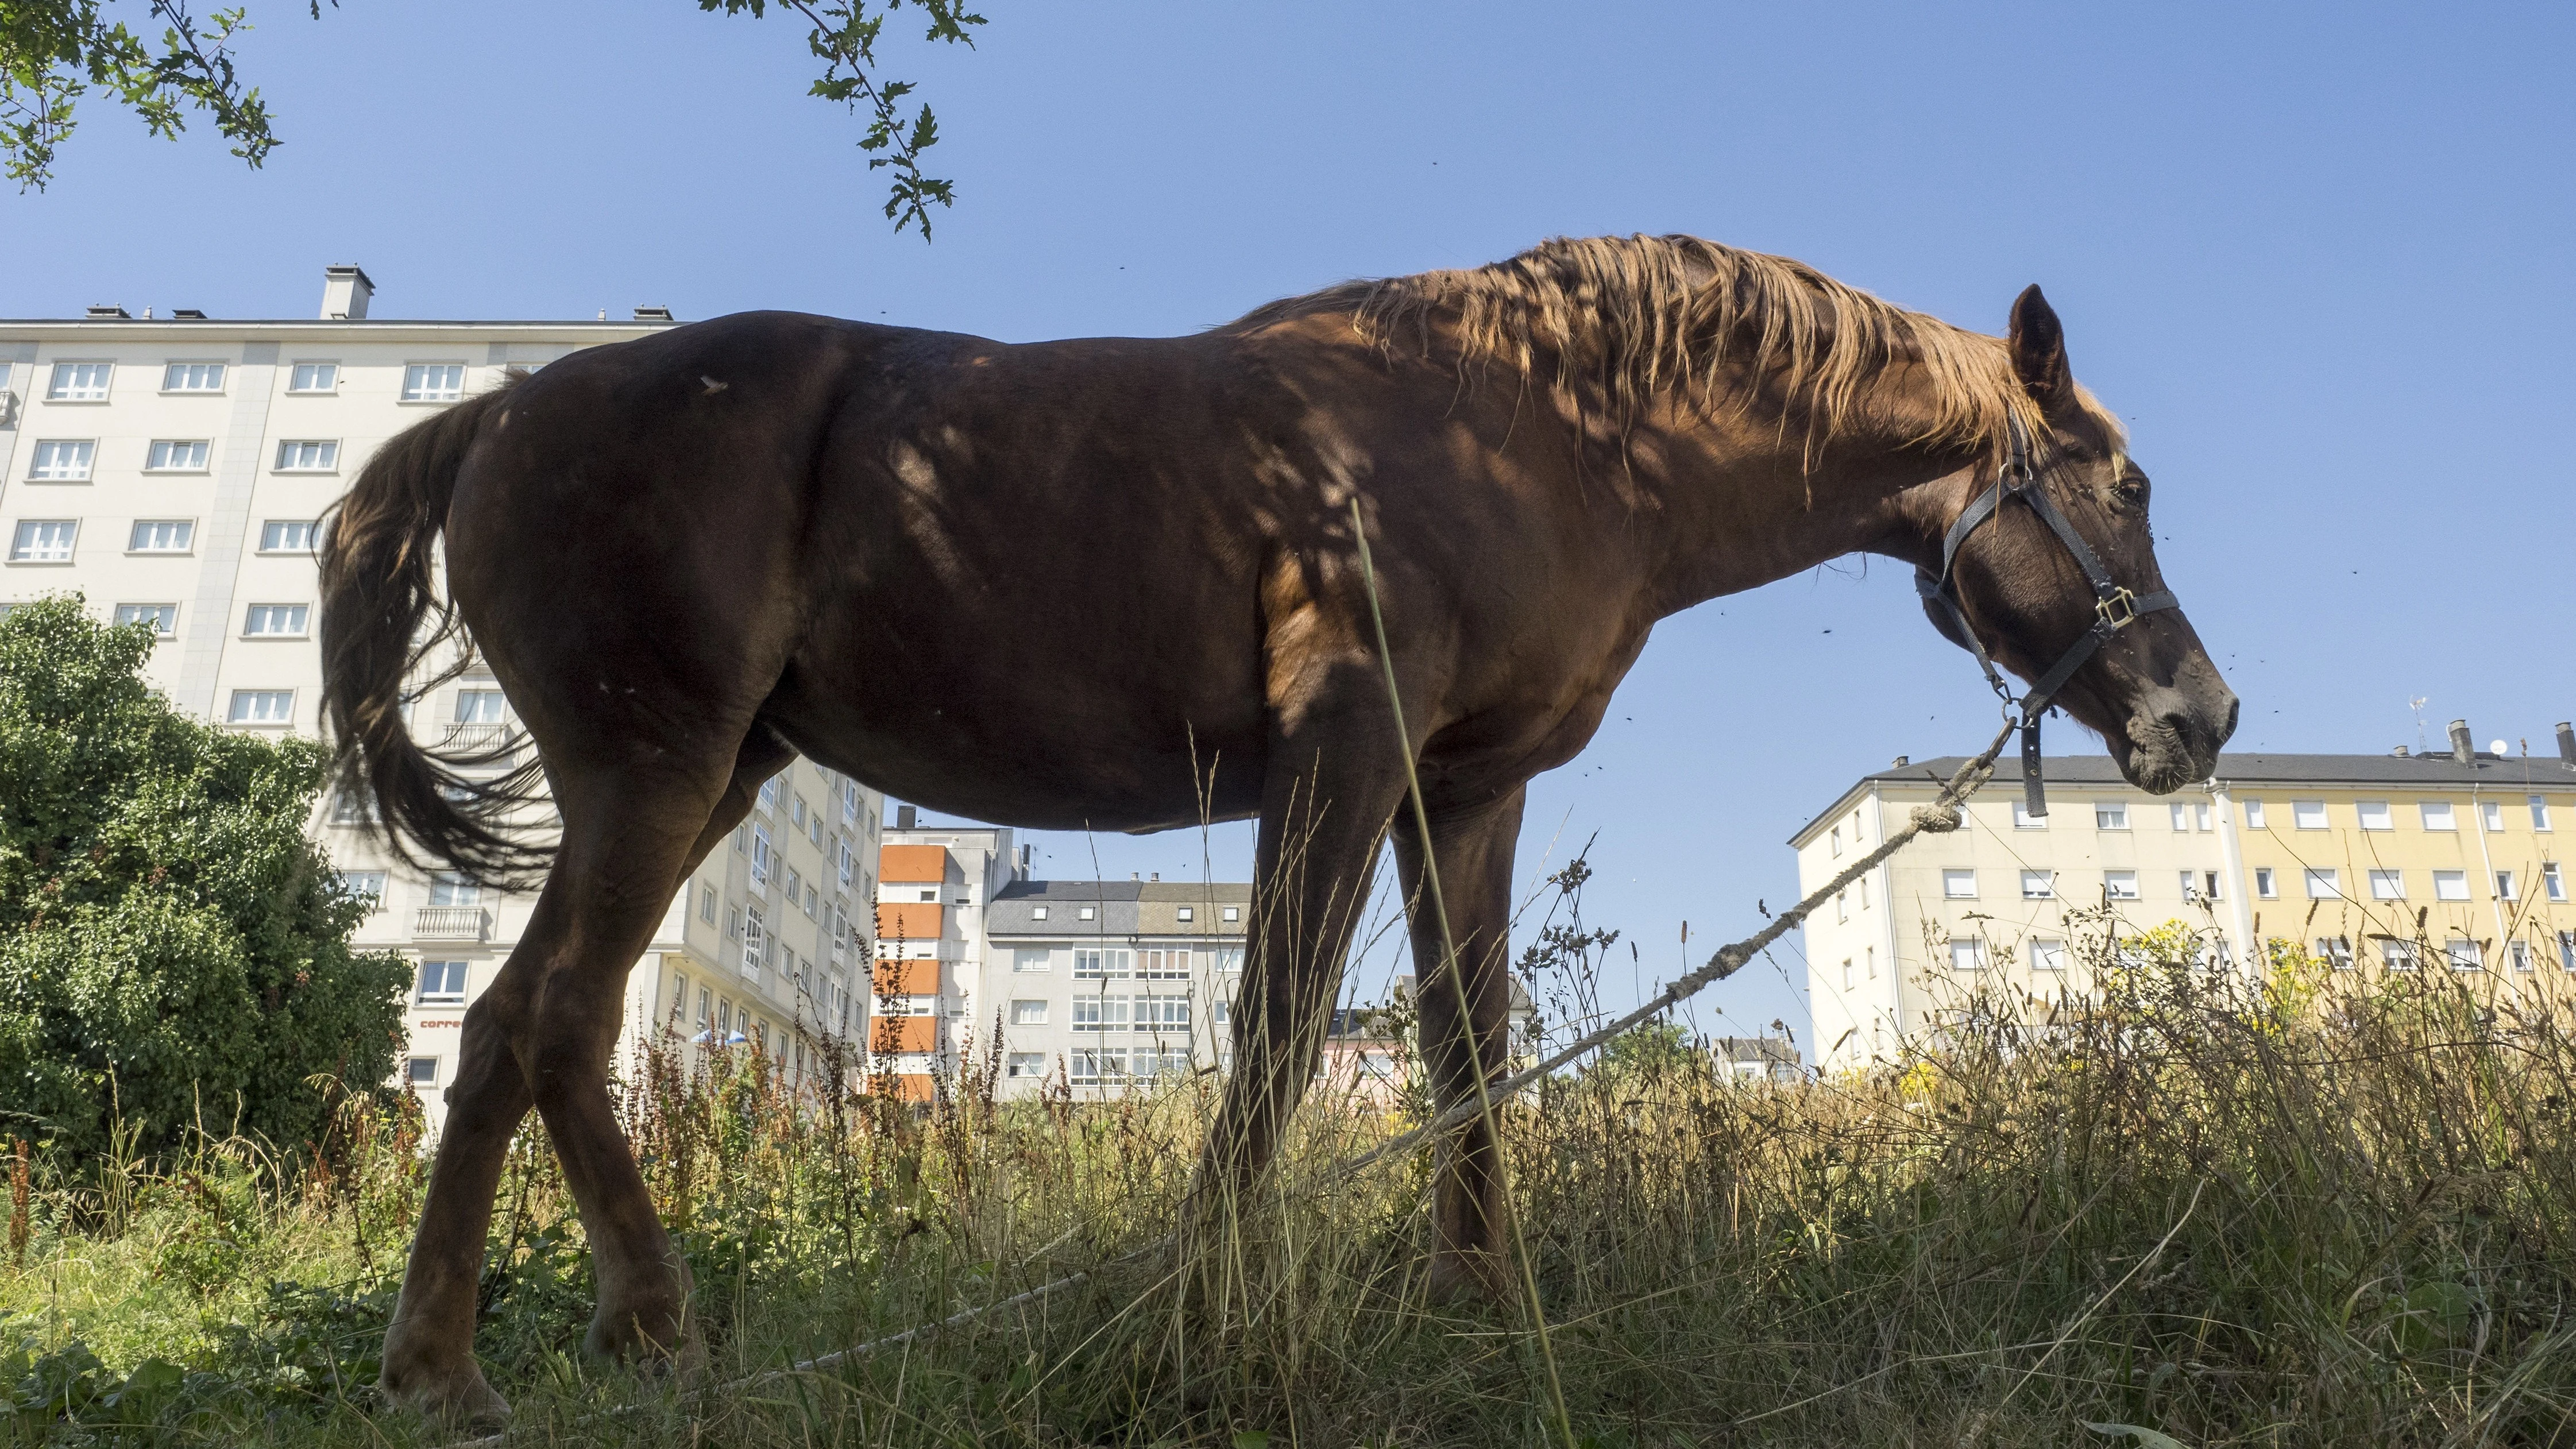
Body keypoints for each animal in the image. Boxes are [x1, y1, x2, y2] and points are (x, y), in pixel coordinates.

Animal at [322, 233, 2235, 1420]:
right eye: (2127, 484)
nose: (2201, 717)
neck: (1548, 429)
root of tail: (491, 411)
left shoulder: (1461, 785)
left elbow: (1465, 1045)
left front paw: (1480, 1308)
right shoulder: (1343, 751)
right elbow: (1273, 1035)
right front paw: (1205, 1318)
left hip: (700, 778)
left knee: (507, 1028)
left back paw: (453, 1367)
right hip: (658, 773)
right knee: (557, 1022)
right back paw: (636, 1334)